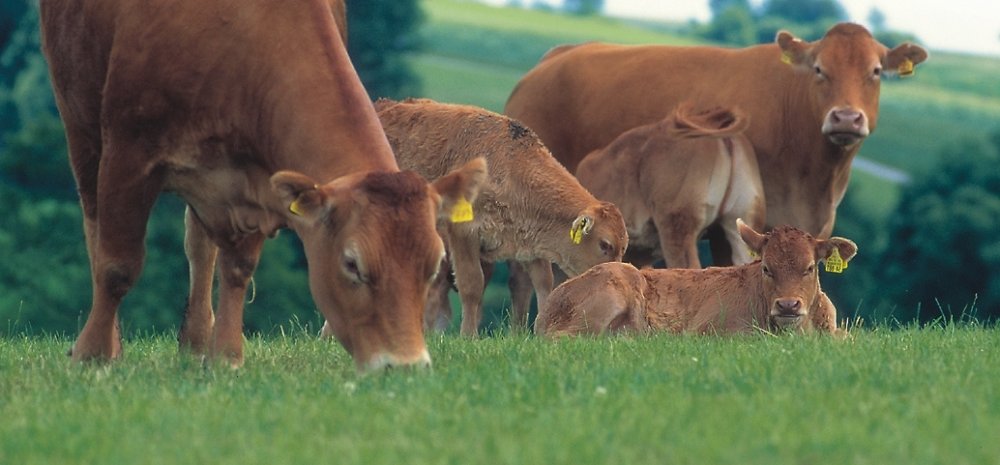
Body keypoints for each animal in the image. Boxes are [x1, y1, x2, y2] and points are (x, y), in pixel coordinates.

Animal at [40, 0, 486, 372]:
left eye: (433, 266)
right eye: (352, 264)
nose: (406, 365)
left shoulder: (258, 183)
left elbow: (237, 267)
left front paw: (225, 356)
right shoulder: (128, 152)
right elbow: (117, 265)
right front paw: (94, 354)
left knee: (199, 246)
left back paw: (196, 340)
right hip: (80, 122)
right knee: (94, 226)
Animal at [366, 98, 628, 336]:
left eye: (622, 248)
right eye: (605, 245)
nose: (615, 275)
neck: (508, 167)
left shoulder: (528, 243)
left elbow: (544, 283)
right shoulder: (464, 233)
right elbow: (472, 285)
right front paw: (468, 337)